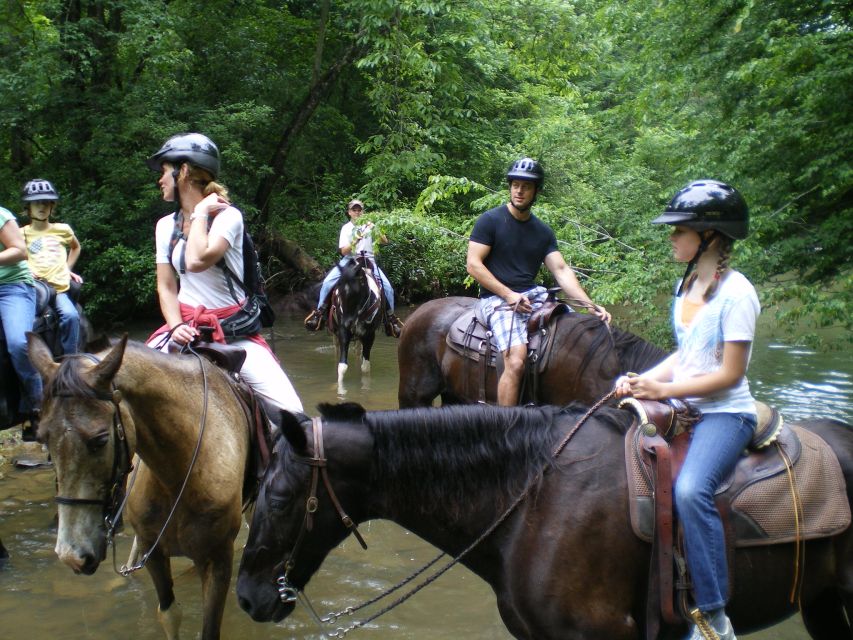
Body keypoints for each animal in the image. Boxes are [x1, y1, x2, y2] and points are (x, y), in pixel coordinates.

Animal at [28, 336, 258, 640]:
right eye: (43, 438)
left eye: (101, 439)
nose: (71, 556)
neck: (180, 473)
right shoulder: (154, 552)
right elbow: (169, 615)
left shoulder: (217, 558)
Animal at [330, 256, 382, 396]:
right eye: (338, 291)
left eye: (356, 292)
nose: (348, 323)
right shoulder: (343, 332)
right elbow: (342, 366)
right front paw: (339, 389)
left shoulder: (370, 335)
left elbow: (365, 367)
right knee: (337, 349)